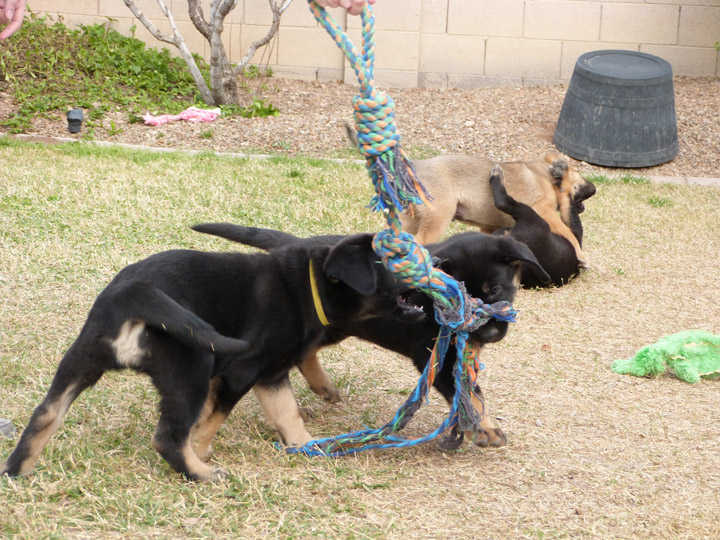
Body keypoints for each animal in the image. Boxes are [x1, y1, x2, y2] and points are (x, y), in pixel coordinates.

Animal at [1, 234, 428, 478]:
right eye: (393, 262)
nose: (436, 266)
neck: (310, 287)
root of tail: (129, 295)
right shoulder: (243, 372)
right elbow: (212, 420)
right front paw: (204, 450)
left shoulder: (272, 375)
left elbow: (286, 413)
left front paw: (307, 446)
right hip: (190, 365)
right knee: (169, 438)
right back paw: (202, 473)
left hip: (81, 359)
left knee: (45, 414)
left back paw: (18, 471)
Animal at [188, 223, 548, 448]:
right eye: (456, 297)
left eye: (495, 289)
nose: (490, 333)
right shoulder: (434, 358)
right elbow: (470, 396)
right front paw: (486, 428)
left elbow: (472, 391)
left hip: (333, 325)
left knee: (304, 353)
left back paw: (322, 387)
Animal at [400, 153, 592, 266]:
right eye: (577, 171)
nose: (594, 188)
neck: (544, 175)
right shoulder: (543, 211)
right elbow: (568, 233)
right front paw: (581, 255)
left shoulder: (488, 227)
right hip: (438, 218)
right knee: (419, 245)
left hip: (410, 221)